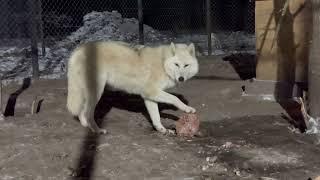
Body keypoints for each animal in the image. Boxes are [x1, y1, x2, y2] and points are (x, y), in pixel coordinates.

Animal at [66, 40, 199, 134]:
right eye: (176, 64)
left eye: (186, 65)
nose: (181, 79)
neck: (163, 63)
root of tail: (78, 50)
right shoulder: (151, 92)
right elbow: (174, 98)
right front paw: (188, 109)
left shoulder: (149, 97)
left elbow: (156, 117)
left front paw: (162, 129)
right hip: (96, 93)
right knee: (87, 113)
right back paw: (97, 130)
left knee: (82, 112)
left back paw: (86, 126)